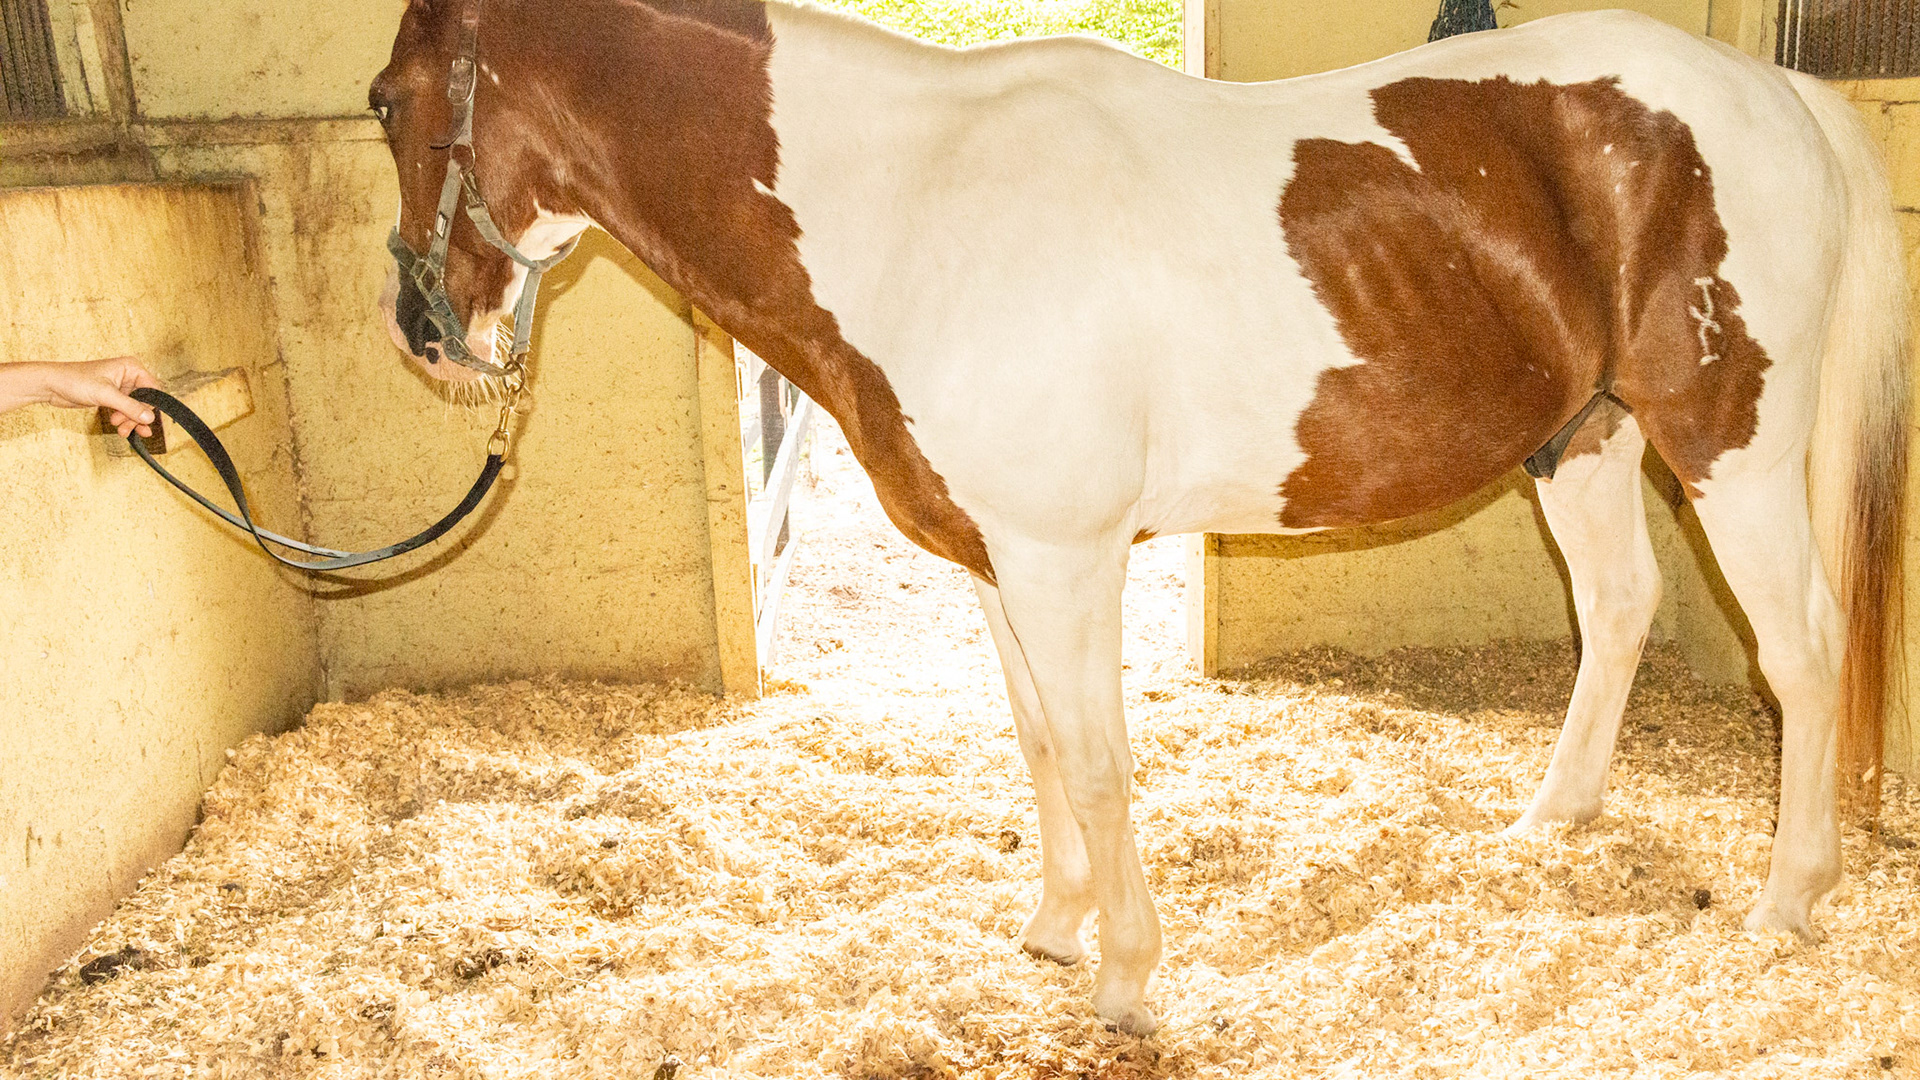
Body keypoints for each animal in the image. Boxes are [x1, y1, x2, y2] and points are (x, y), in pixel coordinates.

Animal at [371, 0, 1909, 1034]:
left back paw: (1789, 901)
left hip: (1731, 456)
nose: (425, 332)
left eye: (387, 97)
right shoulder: (996, 558)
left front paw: (1122, 982)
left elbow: (1106, 763)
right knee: (1622, 607)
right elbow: (1047, 749)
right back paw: (1550, 823)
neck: (919, 205)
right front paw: (1054, 933)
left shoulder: (1067, 558)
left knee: (1805, 650)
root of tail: (1778, 92)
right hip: (1581, 440)